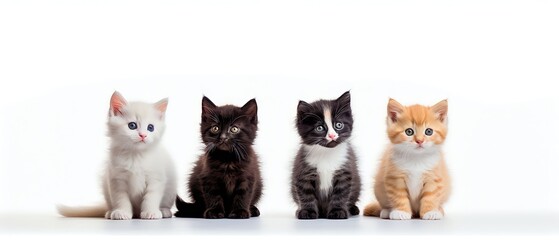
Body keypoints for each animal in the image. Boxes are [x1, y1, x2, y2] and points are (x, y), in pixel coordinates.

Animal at [56, 91, 175, 219]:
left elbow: (151, 197)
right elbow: (121, 198)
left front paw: (151, 212)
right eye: (132, 125)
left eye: (151, 127)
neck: (135, 155)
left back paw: (164, 211)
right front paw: (121, 212)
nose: (143, 135)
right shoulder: (117, 179)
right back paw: (110, 212)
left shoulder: (155, 178)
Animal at [290, 90, 360, 219]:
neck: (327, 153)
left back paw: (353, 209)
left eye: (338, 125)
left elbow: (340, 194)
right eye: (320, 128)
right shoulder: (304, 171)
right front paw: (307, 211)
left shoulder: (344, 172)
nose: (332, 135)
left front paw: (338, 211)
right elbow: (306, 194)